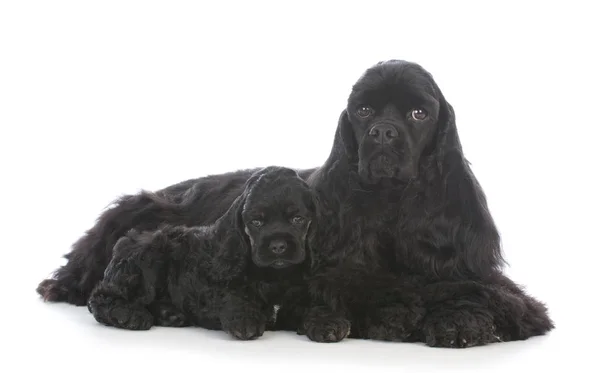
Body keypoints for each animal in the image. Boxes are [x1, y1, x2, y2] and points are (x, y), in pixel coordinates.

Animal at [87, 166, 316, 340]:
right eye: (256, 222)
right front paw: (245, 320)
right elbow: (230, 293)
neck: (276, 275)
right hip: (144, 265)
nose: (278, 246)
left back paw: (169, 314)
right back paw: (130, 315)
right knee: (100, 297)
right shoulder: (213, 275)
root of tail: (124, 241)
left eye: (298, 219)